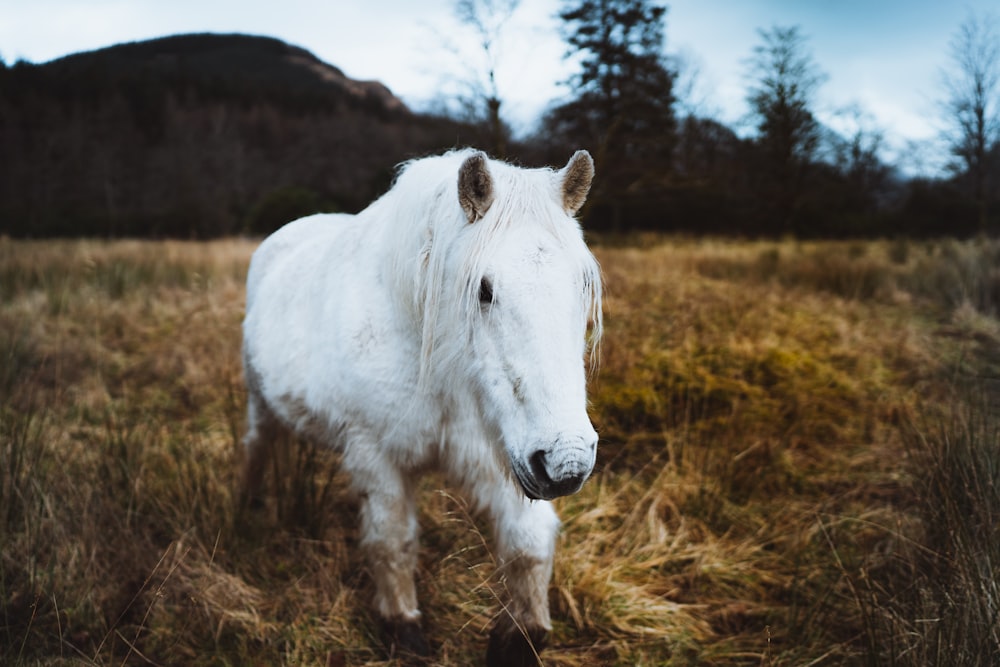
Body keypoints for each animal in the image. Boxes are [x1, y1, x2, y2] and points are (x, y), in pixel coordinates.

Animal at [242, 149, 600, 664]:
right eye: (484, 290)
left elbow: (528, 545)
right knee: (257, 447)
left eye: (582, 285)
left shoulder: (504, 452)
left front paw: (521, 636)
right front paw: (402, 626)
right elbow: (392, 542)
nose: (567, 463)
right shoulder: (377, 458)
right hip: (259, 403)